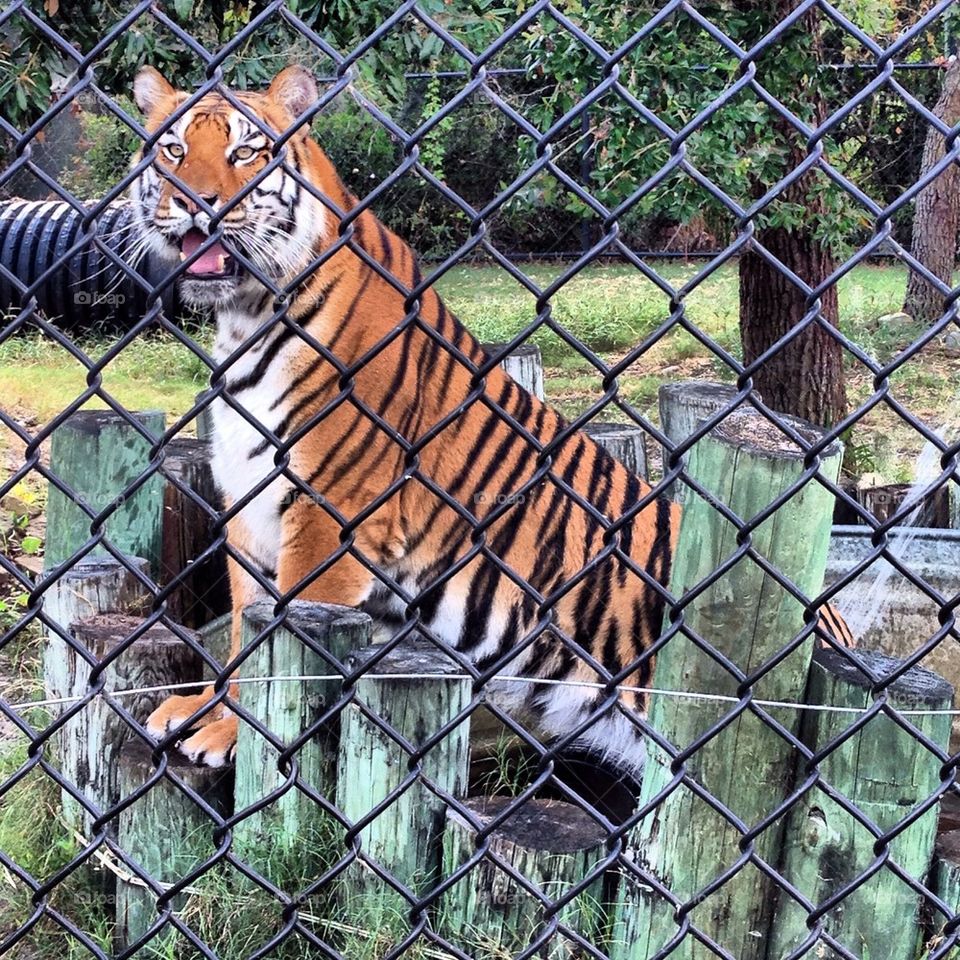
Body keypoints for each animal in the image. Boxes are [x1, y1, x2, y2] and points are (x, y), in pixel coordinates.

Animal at [130, 64, 853, 780]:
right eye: (174, 150)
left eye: (244, 153)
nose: (193, 200)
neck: (245, 318)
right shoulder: (249, 513)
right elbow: (238, 631)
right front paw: (200, 709)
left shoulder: (330, 518)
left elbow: (275, 633)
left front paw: (225, 731)